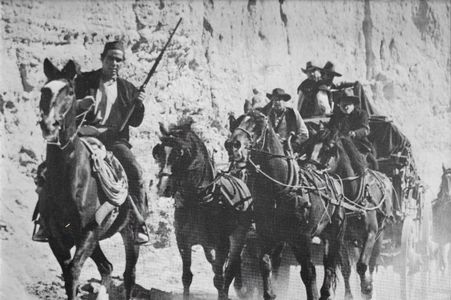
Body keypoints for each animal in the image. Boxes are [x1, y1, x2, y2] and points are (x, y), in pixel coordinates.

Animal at [38, 59, 141, 300]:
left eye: (70, 91)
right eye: (44, 91)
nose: (49, 125)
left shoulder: (88, 232)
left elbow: (74, 270)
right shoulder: (57, 237)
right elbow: (68, 274)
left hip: (129, 234)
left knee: (129, 275)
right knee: (107, 267)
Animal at [152, 120, 251, 298]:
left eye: (181, 153)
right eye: (159, 151)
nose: (164, 187)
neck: (198, 200)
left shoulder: (222, 245)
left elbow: (220, 280)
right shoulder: (183, 242)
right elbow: (186, 277)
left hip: (238, 238)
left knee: (230, 269)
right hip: (208, 246)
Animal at [226, 110, 346, 300]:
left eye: (258, 125)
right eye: (237, 122)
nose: (232, 145)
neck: (280, 189)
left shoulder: (302, 238)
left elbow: (309, 272)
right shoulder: (266, 235)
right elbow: (265, 264)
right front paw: (269, 293)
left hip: (335, 234)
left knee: (329, 264)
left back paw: (325, 292)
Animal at [308, 131, 396, 300]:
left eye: (328, 149)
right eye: (309, 146)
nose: (308, 170)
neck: (355, 196)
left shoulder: (371, 233)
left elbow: (362, 265)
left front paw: (367, 289)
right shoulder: (342, 238)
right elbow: (346, 269)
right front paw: (349, 295)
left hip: (380, 235)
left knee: (372, 263)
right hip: (353, 242)